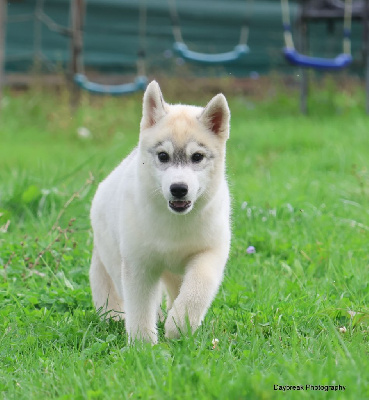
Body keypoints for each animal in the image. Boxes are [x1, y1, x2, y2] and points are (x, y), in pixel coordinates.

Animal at [88, 82, 230, 344]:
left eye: (197, 157)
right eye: (163, 156)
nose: (179, 189)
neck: (174, 223)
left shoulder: (209, 253)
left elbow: (197, 290)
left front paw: (179, 326)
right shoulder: (138, 264)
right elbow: (140, 307)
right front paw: (143, 345)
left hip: (174, 272)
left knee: (176, 291)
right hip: (114, 256)